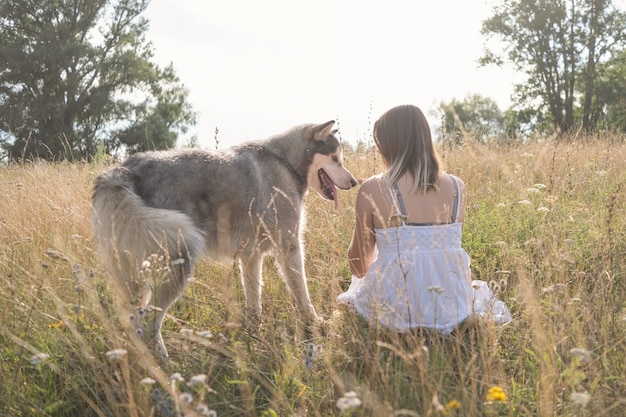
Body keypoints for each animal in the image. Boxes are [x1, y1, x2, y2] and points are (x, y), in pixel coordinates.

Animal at [91, 119, 356, 354]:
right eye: (335, 158)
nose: (354, 182)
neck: (285, 162)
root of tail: (125, 169)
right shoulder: (289, 248)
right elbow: (303, 295)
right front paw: (315, 323)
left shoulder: (251, 257)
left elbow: (254, 303)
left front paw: (254, 337)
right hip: (176, 265)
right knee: (149, 323)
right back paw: (165, 365)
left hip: (134, 277)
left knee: (134, 321)